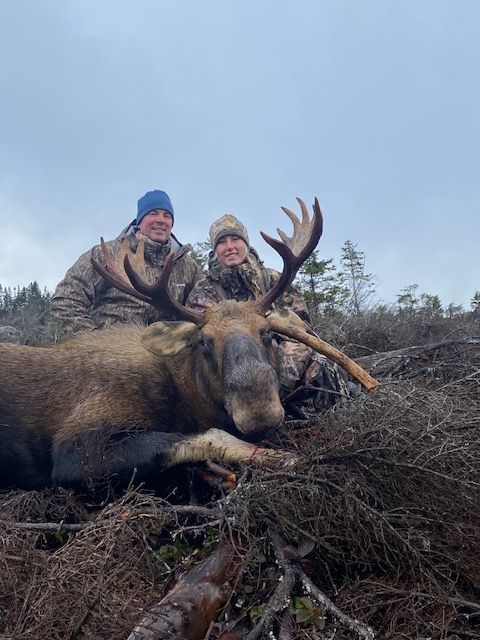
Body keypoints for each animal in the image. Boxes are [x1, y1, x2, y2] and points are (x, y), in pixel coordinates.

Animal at [0, 198, 378, 491]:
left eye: (268, 333)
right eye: (204, 342)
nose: (258, 413)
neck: (181, 391)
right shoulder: (75, 448)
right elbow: (207, 436)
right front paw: (283, 457)